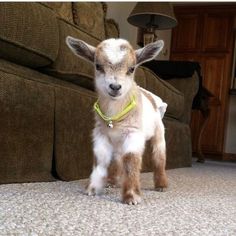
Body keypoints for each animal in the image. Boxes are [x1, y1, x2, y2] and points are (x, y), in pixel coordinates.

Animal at [66, 37, 168, 205]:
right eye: (98, 66)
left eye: (131, 69)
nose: (115, 86)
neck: (114, 116)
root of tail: (151, 97)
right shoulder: (101, 134)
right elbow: (101, 159)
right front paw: (93, 188)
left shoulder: (133, 134)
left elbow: (131, 160)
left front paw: (131, 196)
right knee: (118, 158)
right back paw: (112, 181)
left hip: (159, 133)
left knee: (158, 157)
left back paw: (161, 185)